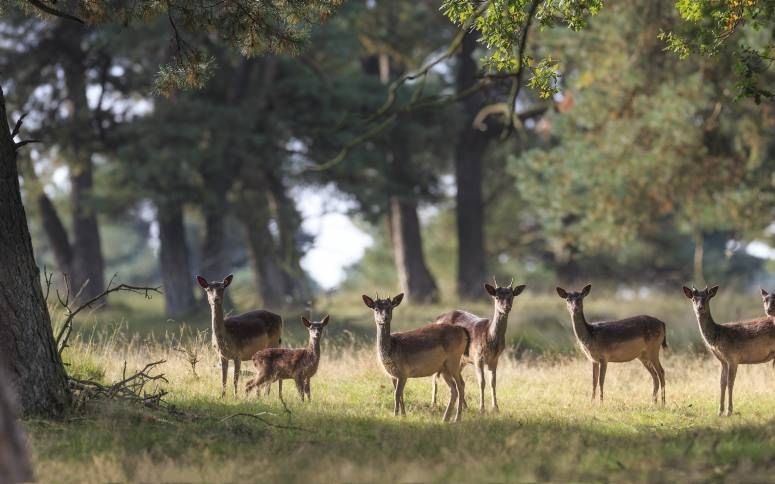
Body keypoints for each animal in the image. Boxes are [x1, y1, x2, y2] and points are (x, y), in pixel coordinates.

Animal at [362, 294, 470, 422]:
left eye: (390, 308)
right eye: (376, 308)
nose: (385, 318)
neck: (391, 350)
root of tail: (463, 330)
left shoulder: (403, 372)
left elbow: (397, 394)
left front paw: (395, 415)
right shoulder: (393, 375)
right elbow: (399, 394)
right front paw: (403, 415)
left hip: (454, 360)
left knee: (460, 386)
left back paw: (457, 418)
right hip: (444, 368)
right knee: (454, 389)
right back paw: (445, 418)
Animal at [430, 280, 528, 412]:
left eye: (511, 296)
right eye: (497, 297)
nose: (506, 308)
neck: (490, 339)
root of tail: (437, 319)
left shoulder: (494, 359)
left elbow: (493, 382)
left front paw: (496, 408)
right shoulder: (477, 357)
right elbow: (482, 382)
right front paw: (482, 409)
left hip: (461, 360)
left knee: (459, 380)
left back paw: (465, 406)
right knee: (435, 376)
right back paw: (433, 404)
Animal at [684, 286, 775, 418]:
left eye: (706, 298)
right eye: (693, 299)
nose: (699, 308)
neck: (717, 338)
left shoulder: (733, 357)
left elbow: (730, 382)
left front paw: (729, 411)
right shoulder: (723, 361)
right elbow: (722, 383)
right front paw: (719, 411)